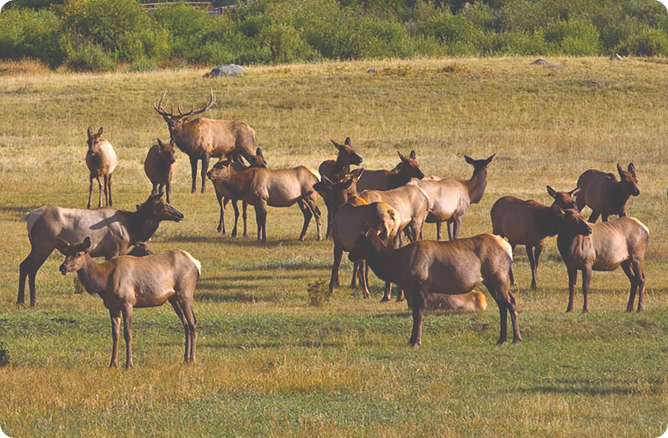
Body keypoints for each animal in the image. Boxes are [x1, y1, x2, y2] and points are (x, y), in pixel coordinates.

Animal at [17, 193, 184, 307]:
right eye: (164, 204)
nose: (180, 214)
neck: (131, 229)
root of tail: (29, 217)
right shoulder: (115, 249)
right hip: (44, 244)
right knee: (31, 268)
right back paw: (31, 301)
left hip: (36, 245)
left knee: (23, 265)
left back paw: (23, 301)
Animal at [56, 237, 200, 368]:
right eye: (66, 253)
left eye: (79, 254)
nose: (63, 267)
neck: (104, 282)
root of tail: (196, 263)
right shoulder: (112, 306)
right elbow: (115, 334)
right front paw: (113, 363)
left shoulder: (128, 302)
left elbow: (128, 333)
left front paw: (129, 364)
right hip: (173, 298)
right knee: (186, 323)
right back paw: (185, 359)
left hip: (185, 293)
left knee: (192, 322)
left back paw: (192, 359)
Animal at [348, 226, 521, 347]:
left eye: (358, 241)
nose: (350, 255)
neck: (397, 265)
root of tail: (508, 248)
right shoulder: (411, 290)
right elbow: (415, 314)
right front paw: (411, 340)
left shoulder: (421, 286)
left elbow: (418, 314)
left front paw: (416, 341)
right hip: (489, 282)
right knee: (502, 305)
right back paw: (501, 339)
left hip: (498, 277)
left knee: (511, 302)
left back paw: (516, 339)